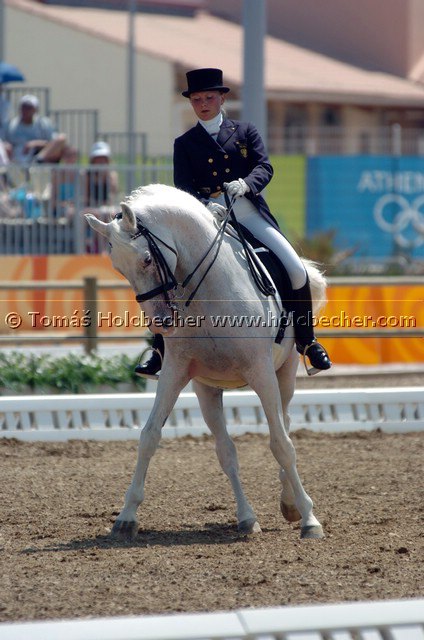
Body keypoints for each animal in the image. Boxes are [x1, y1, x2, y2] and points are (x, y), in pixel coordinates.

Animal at [84, 184, 326, 540]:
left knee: (284, 424)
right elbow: (150, 437)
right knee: (228, 449)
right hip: (207, 390)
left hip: (284, 373)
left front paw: (310, 520)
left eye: (147, 259)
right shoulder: (176, 372)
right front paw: (126, 517)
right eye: (118, 268)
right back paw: (255, 515)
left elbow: (280, 444)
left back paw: (291, 503)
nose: (161, 323)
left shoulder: (261, 372)